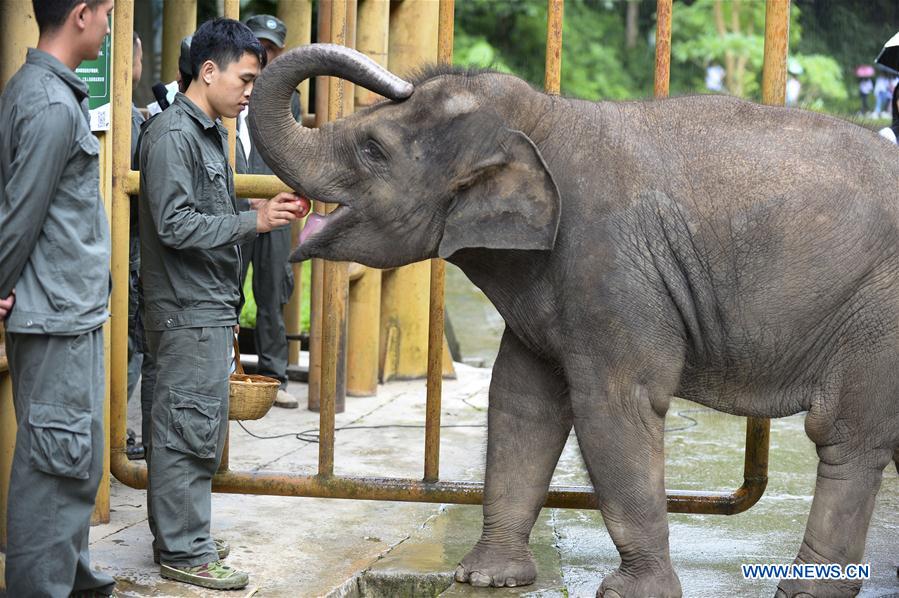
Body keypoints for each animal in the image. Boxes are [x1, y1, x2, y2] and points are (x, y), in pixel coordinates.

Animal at [250, 44, 899, 596]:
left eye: (373, 149)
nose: (399, 79)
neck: (547, 116)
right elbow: (521, 401)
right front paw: (486, 579)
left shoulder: (610, 269)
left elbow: (612, 406)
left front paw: (632, 593)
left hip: (877, 317)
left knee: (846, 438)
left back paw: (804, 590)